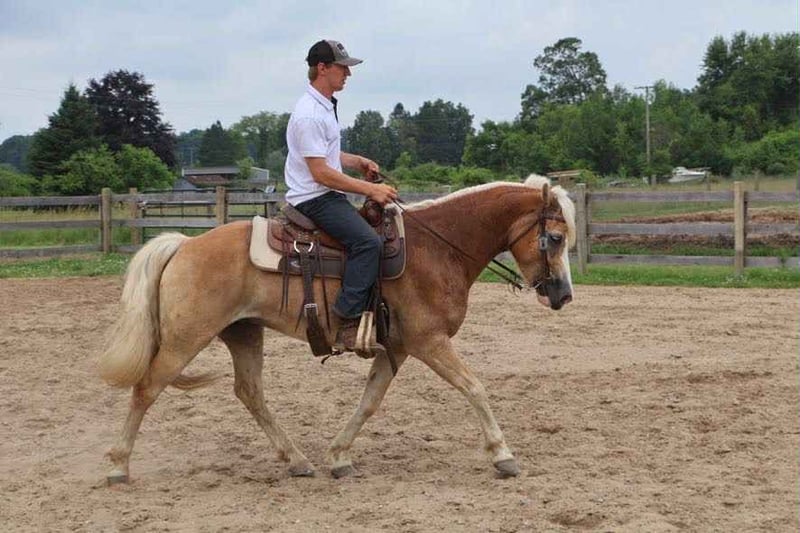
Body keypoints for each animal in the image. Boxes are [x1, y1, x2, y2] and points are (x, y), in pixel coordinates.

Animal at [98, 174, 576, 483]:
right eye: (554, 238)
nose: (563, 295)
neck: (438, 248)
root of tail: (185, 244)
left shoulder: (398, 348)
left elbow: (368, 402)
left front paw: (339, 456)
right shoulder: (429, 342)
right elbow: (474, 387)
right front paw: (503, 455)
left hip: (244, 332)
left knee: (250, 392)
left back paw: (297, 460)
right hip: (186, 339)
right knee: (146, 388)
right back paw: (118, 465)